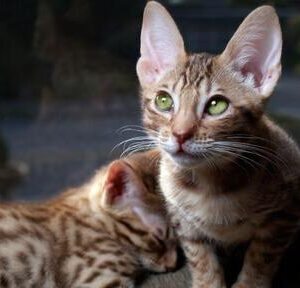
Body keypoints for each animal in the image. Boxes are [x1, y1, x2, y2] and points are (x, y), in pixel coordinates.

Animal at [137, 2, 300, 288]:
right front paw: (207, 281)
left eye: (216, 105)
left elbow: (261, 257)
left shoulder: (285, 213)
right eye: (163, 101)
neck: (209, 185)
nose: (180, 134)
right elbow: (200, 258)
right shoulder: (183, 220)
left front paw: (250, 283)